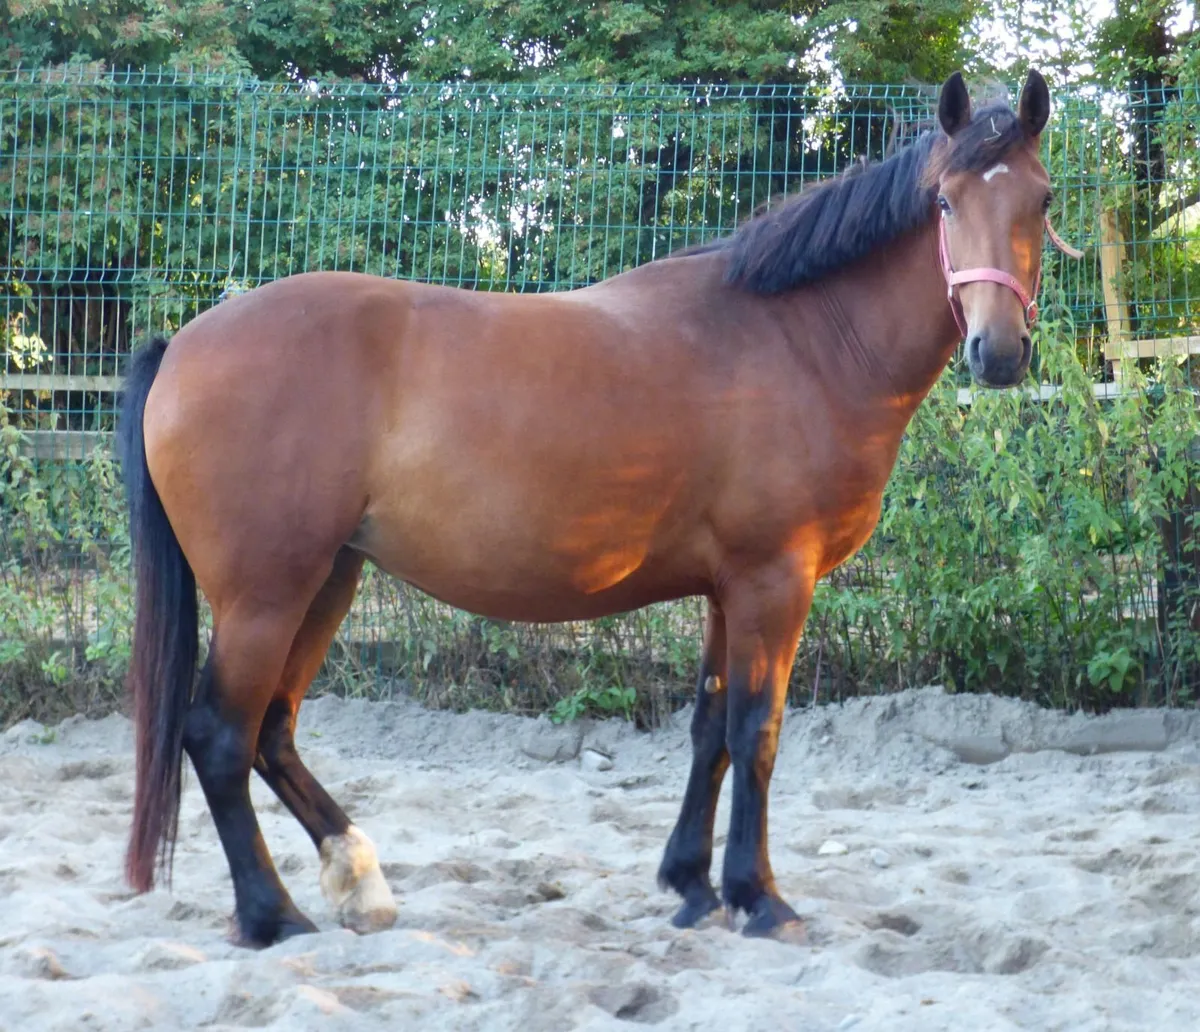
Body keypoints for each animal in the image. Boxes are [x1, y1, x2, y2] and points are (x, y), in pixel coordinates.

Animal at [118, 69, 1082, 947]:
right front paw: (760, 898)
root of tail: (184, 345)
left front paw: (692, 887)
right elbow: (757, 731)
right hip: (266, 596)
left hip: (328, 579)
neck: (802, 341)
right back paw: (272, 915)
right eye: (945, 203)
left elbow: (709, 729)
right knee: (220, 736)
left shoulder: (727, 591)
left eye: (1041, 199)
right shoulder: (775, 582)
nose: (999, 351)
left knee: (271, 733)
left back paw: (358, 882)